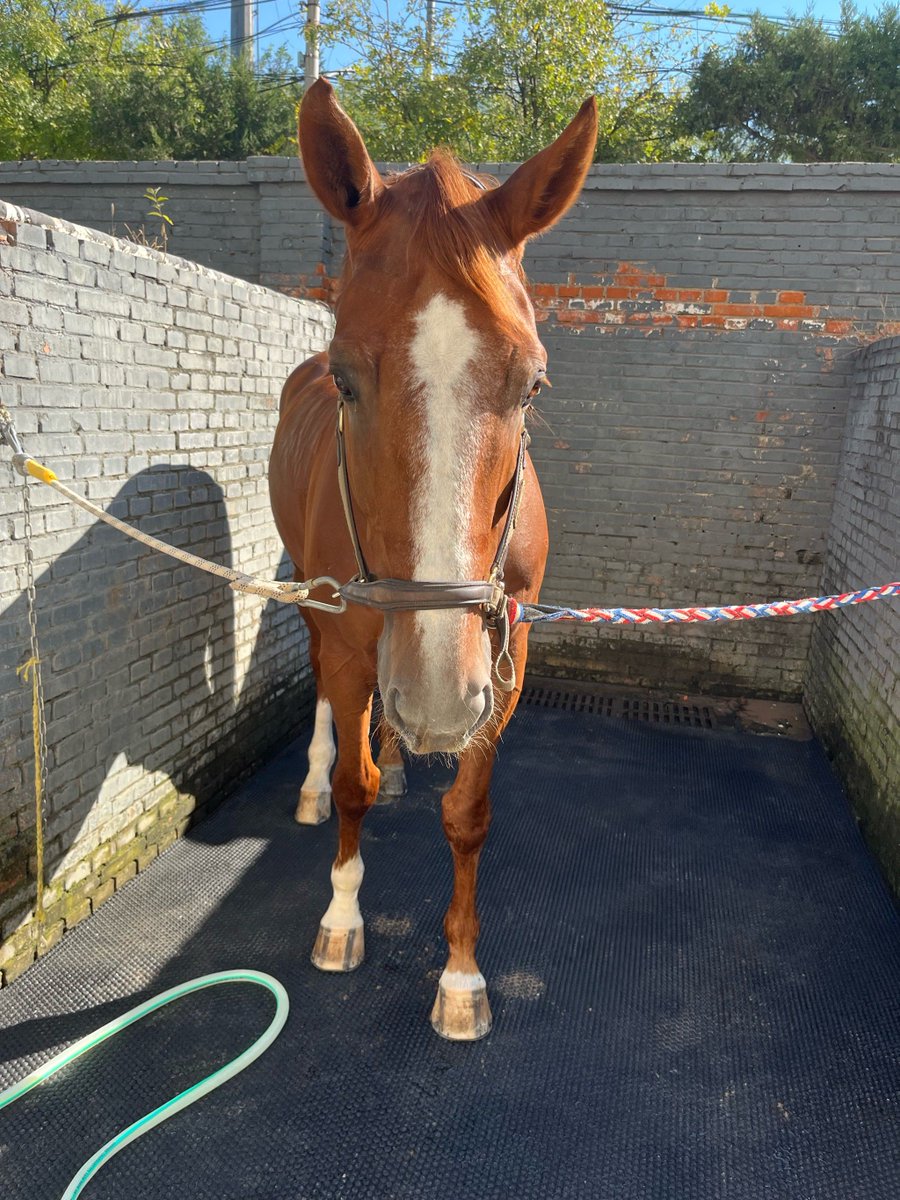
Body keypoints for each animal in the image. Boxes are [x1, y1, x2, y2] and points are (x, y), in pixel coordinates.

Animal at [269, 79, 598, 1040]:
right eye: (346, 378)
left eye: (533, 384)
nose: (442, 700)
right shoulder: (353, 641)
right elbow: (354, 784)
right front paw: (343, 918)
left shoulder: (505, 650)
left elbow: (468, 814)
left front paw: (459, 974)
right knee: (329, 713)